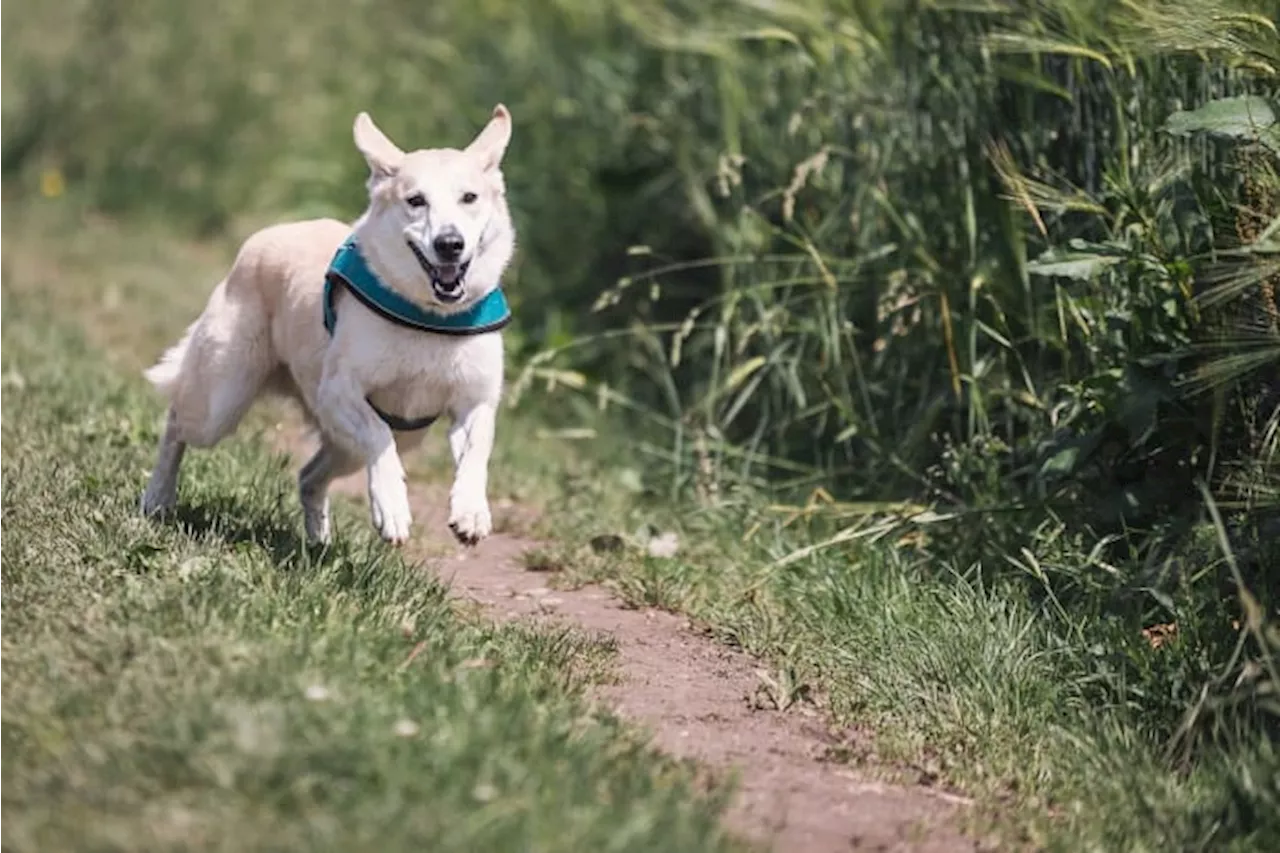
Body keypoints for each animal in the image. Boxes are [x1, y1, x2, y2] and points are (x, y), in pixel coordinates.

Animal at [138, 106, 514, 545]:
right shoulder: (338, 391)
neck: (429, 317)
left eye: (469, 198)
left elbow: (477, 452)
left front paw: (471, 512)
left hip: (379, 439)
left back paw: (318, 541)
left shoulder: (475, 401)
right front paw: (393, 509)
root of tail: (265, 236)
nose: (450, 244)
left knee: (309, 476)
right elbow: (378, 436)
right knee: (176, 422)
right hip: (220, 400)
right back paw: (157, 498)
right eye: (416, 201)